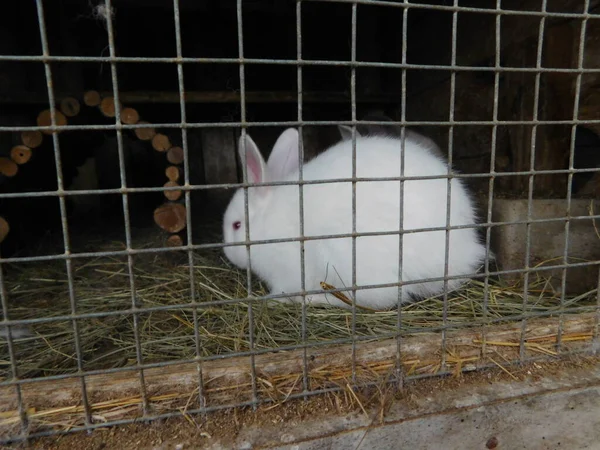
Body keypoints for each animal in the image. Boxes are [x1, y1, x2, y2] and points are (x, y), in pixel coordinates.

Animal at [223, 127, 486, 310]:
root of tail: (464, 252)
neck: (268, 224)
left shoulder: (288, 273)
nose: (228, 254)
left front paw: (271, 301)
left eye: (237, 225)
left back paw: (313, 299)